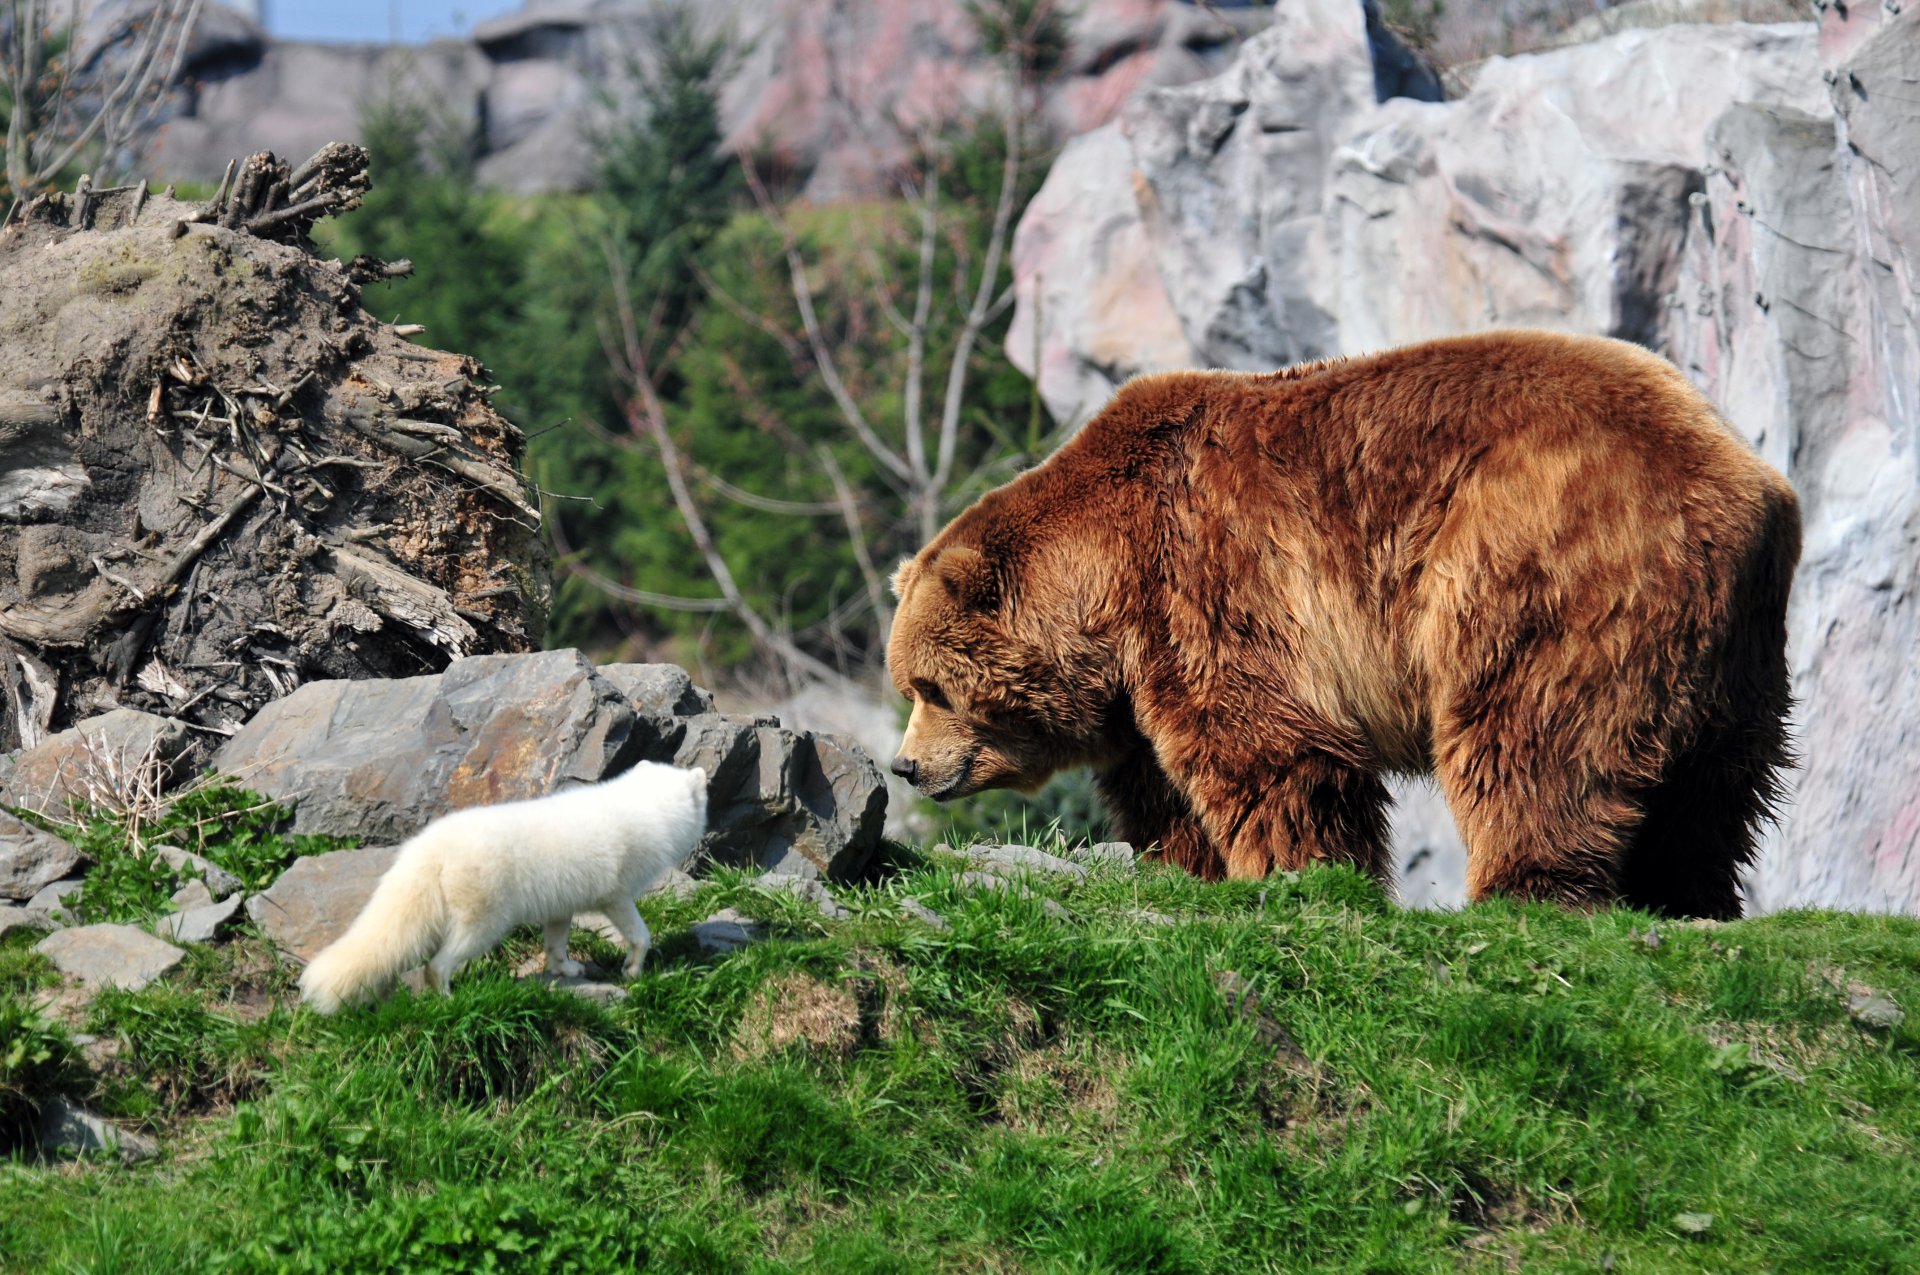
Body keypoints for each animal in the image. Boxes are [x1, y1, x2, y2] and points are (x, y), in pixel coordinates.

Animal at [885, 329, 1800, 917]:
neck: (1104, 581)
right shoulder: (1139, 680)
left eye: (931, 687)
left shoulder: (1207, 578)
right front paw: (1187, 865)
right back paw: (1689, 895)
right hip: (1737, 646)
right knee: (1716, 785)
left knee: (1530, 733)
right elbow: (1162, 788)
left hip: (1540, 556)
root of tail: (1746, 479)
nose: (905, 766)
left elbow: (1270, 746)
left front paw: (1296, 872)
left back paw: (1524, 887)